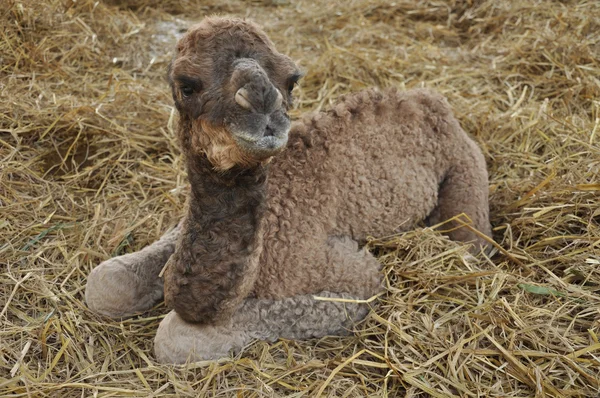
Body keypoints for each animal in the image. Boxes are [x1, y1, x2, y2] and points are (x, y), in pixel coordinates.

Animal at [86, 16, 494, 364]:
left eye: (292, 79)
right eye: (187, 84)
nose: (262, 101)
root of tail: (431, 102)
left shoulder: (354, 276)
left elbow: (176, 336)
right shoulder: (180, 230)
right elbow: (104, 283)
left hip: (466, 165)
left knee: (473, 242)